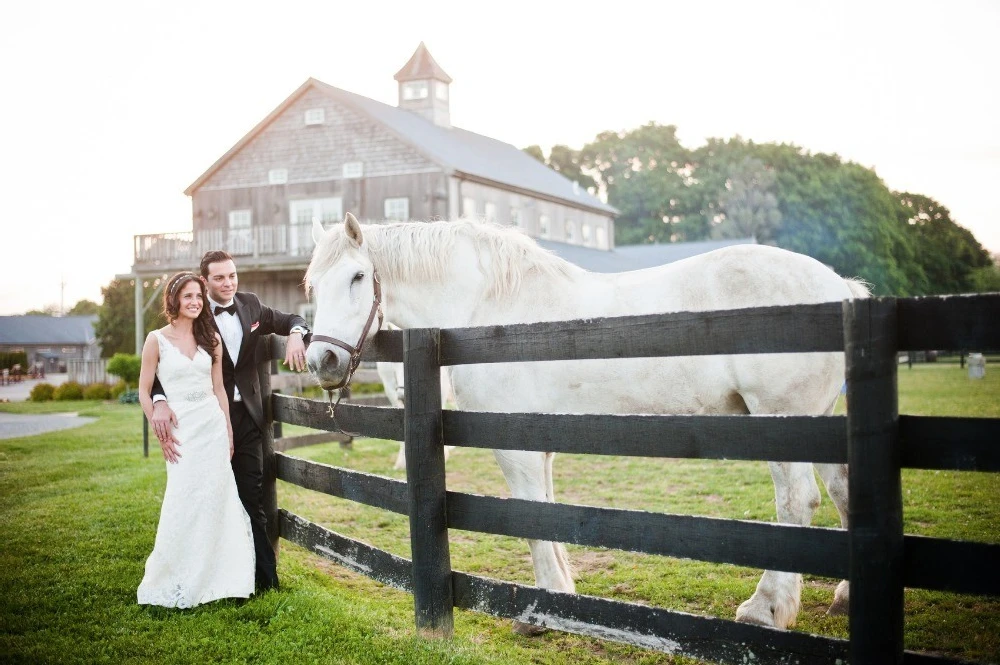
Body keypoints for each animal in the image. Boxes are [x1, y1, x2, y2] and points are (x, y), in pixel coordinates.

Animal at [304, 215, 868, 632]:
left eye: (357, 277)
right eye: (312, 285)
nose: (322, 361)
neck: (490, 308)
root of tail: (838, 287)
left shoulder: (514, 443)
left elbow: (529, 515)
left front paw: (543, 609)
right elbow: (546, 513)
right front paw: (561, 598)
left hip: (781, 421)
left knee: (797, 503)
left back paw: (766, 609)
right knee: (841, 490)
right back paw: (843, 597)